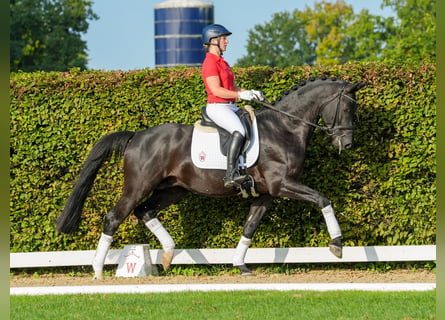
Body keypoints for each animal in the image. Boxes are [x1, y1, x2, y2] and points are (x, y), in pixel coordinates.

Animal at [54, 77, 364, 278]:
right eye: (348, 107)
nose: (347, 144)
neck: (284, 128)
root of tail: (137, 136)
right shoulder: (282, 185)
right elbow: (323, 199)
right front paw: (337, 245)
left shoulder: (266, 194)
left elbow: (250, 227)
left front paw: (240, 265)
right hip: (138, 186)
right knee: (114, 217)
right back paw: (97, 271)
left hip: (173, 189)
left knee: (145, 211)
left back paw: (168, 255)